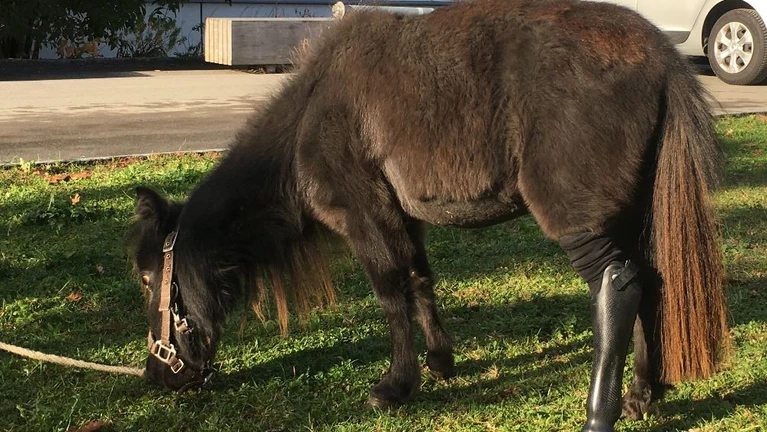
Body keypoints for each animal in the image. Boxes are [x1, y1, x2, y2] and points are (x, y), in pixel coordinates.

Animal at [129, 0, 729, 430]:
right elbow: (419, 281)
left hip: (578, 217)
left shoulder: (365, 217)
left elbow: (391, 294)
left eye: (149, 279)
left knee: (617, 286)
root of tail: (662, 56)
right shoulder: (402, 218)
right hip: (627, 212)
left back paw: (599, 412)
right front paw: (441, 363)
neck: (311, 115)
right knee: (651, 281)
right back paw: (641, 395)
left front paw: (396, 385)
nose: (157, 375)